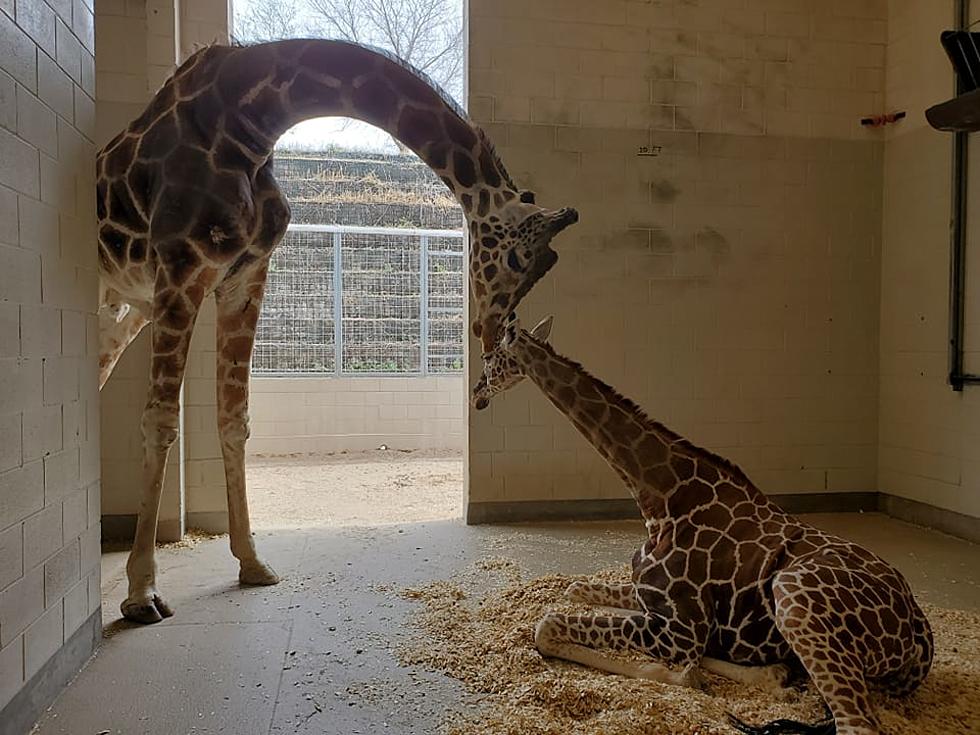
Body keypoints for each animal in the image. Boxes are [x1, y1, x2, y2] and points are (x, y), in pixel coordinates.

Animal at [95, 40, 580, 624]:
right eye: (512, 258)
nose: (488, 332)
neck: (250, 120)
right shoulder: (181, 268)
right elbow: (161, 421)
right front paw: (142, 593)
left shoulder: (245, 277)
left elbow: (235, 419)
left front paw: (252, 562)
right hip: (122, 291)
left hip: (127, 307)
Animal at [472, 314, 936, 735]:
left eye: (491, 358)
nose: (476, 395)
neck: (659, 499)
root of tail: (919, 631)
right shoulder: (653, 603)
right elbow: (573, 590)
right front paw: (763, 673)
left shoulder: (681, 629)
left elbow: (546, 626)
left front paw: (686, 675)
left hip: (792, 593)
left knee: (857, 725)